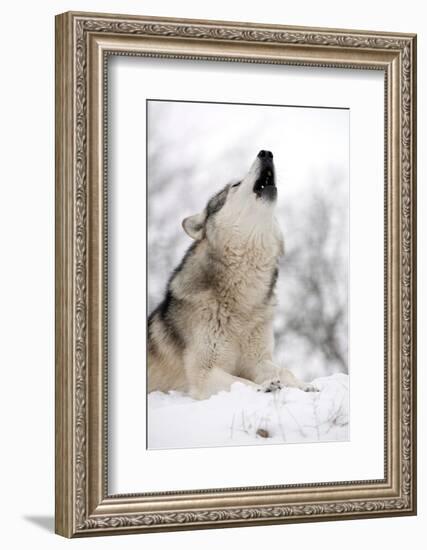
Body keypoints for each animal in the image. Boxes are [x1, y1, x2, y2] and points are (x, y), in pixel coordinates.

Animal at [147, 151, 318, 402]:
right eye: (235, 185)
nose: (266, 153)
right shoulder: (204, 373)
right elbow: (241, 382)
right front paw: (264, 387)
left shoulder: (258, 360)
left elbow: (284, 370)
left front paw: (305, 386)